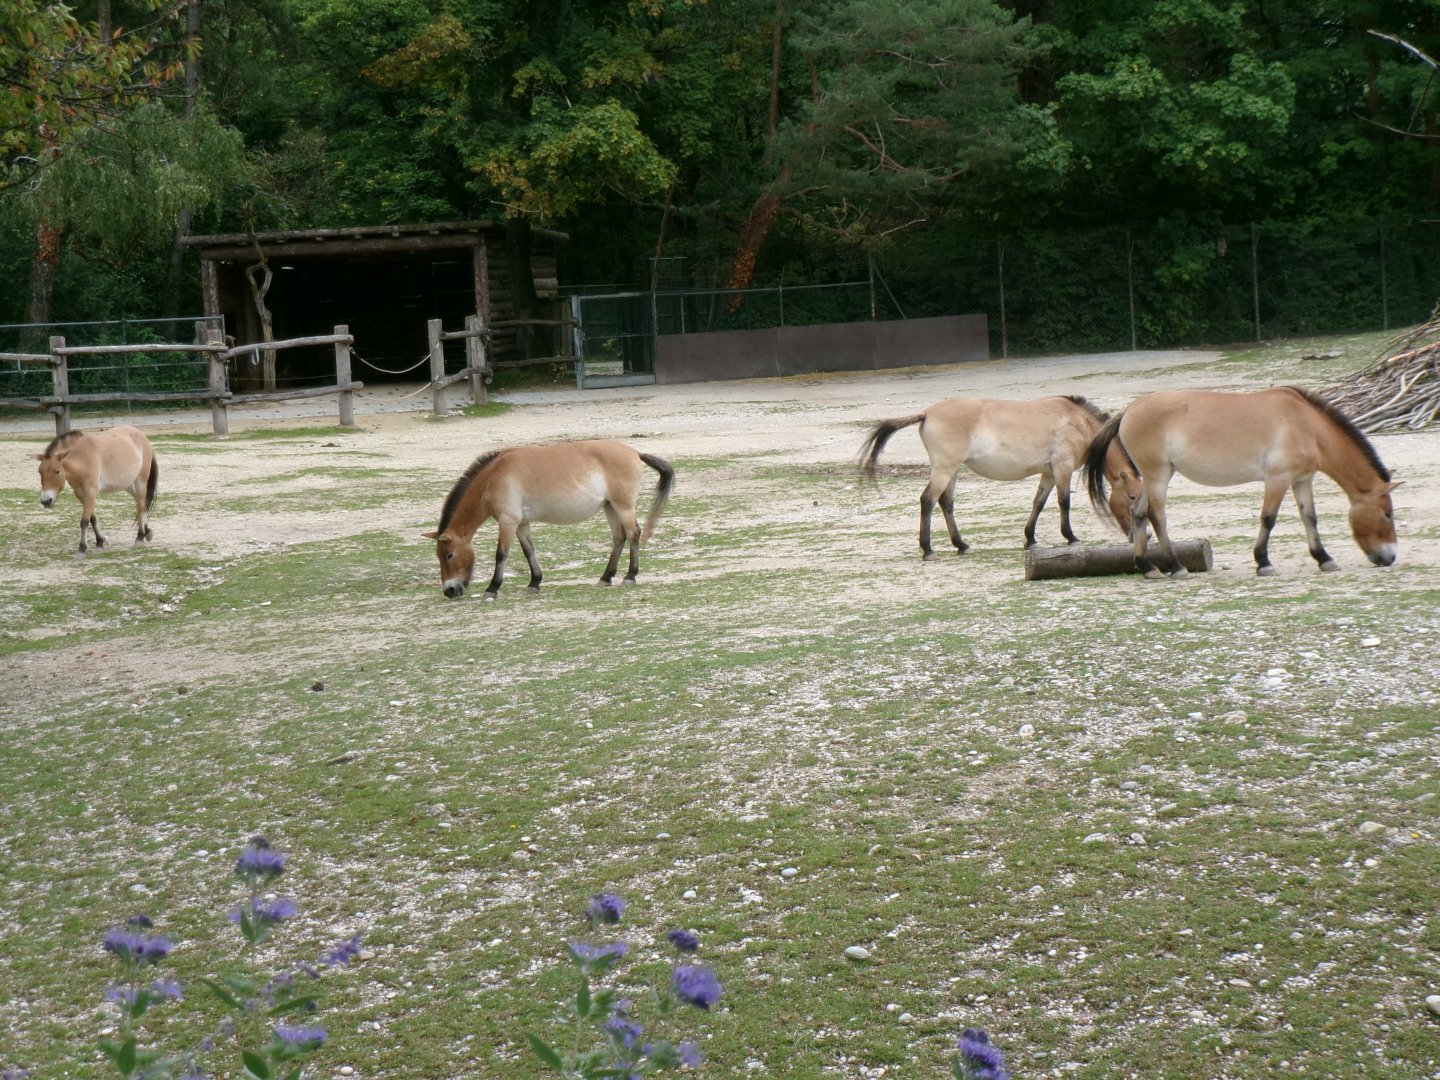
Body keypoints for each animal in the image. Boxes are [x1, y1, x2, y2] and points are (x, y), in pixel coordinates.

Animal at [34, 426, 158, 556]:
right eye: (39, 472)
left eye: (57, 471)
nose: (46, 501)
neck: (82, 458)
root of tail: (143, 437)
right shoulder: (81, 494)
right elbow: (93, 519)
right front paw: (100, 542)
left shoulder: (91, 493)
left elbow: (84, 521)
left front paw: (82, 549)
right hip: (128, 484)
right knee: (141, 504)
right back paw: (148, 532)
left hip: (140, 482)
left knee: (141, 505)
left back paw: (140, 537)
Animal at [423, 439, 674, 600]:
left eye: (449, 555)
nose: (449, 591)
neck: (494, 477)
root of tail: (635, 453)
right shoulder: (521, 523)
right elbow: (529, 551)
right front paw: (535, 582)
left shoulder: (508, 521)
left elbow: (501, 554)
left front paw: (492, 589)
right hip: (610, 507)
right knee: (619, 538)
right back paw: (606, 577)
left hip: (623, 507)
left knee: (633, 534)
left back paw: (630, 576)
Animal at [858, 395, 1138, 558]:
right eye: (1133, 496)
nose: (1133, 535)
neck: (1077, 420)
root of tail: (927, 413)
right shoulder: (1063, 467)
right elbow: (1064, 503)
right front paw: (1071, 537)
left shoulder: (1048, 473)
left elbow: (1038, 503)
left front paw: (1030, 539)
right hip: (944, 469)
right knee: (928, 500)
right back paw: (928, 549)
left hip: (952, 471)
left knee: (946, 503)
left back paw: (961, 545)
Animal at [1083, 387, 1398, 579]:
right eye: (1387, 513)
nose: (1390, 557)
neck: (1306, 425)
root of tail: (1129, 410)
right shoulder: (1277, 478)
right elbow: (1268, 519)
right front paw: (1264, 563)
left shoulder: (1301, 479)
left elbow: (1309, 517)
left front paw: (1324, 559)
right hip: (1157, 475)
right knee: (1156, 516)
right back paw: (1176, 566)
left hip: (1154, 478)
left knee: (1138, 514)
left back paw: (1148, 567)